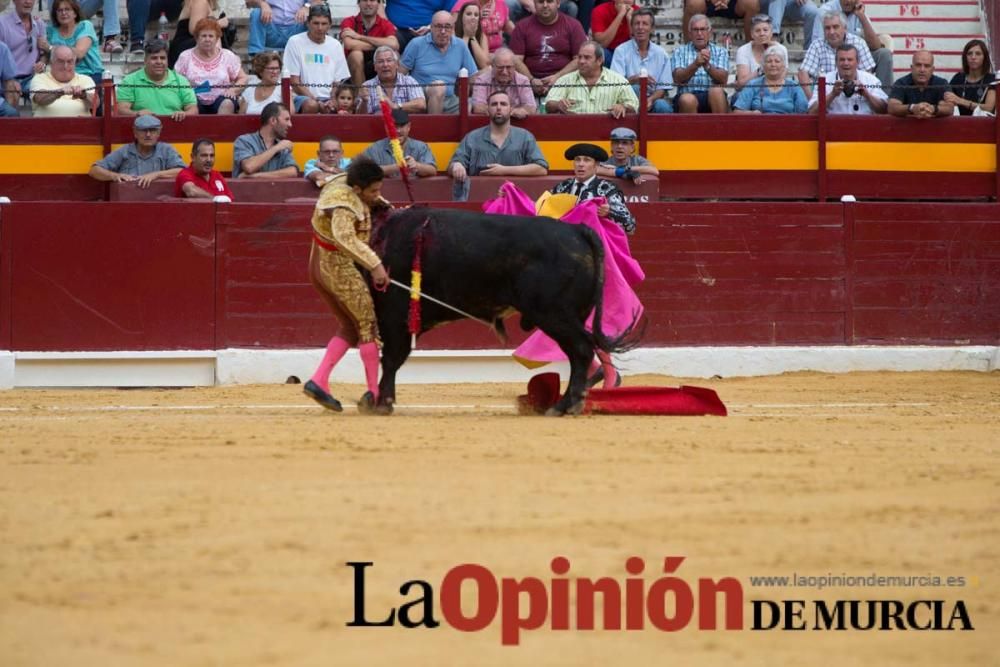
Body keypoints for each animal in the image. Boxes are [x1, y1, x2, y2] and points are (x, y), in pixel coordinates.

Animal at [370, 206, 640, 414]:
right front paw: (374, 400)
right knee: (580, 352)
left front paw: (381, 402)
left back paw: (563, 406)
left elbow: (392, 357)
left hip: (554, 314)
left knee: (581, 350)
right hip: (572, 314)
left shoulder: (394, 314)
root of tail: (577, 230)